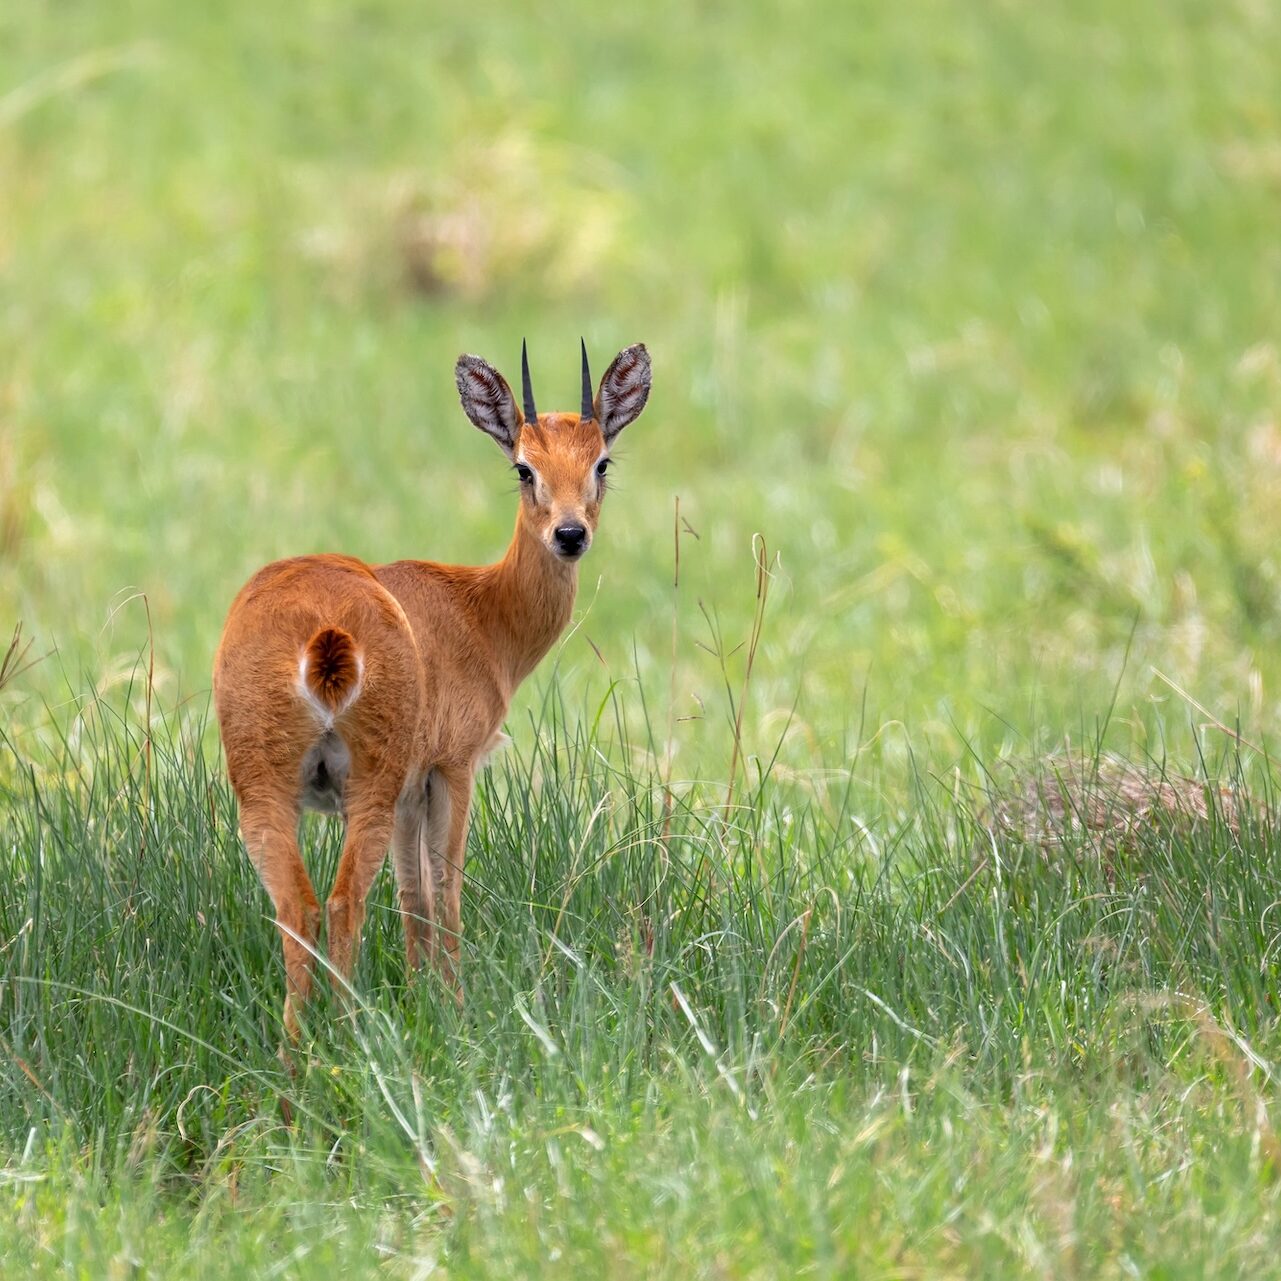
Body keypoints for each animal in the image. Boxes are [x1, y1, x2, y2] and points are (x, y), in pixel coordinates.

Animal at [213, 341, 652, 1035]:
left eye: (601, 461)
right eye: (524, 467)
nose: (570, 534)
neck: (480, 612)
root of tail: (322, 633)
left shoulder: (409, 793)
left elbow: (412, 893)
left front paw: (426, 998)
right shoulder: (450, 768)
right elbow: (444, 886)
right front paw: (456, 1007)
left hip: (265, 788)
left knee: (297, 907)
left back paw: (296, 1050)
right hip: (366, 781)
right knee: (342, 901)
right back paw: (350, 1034)